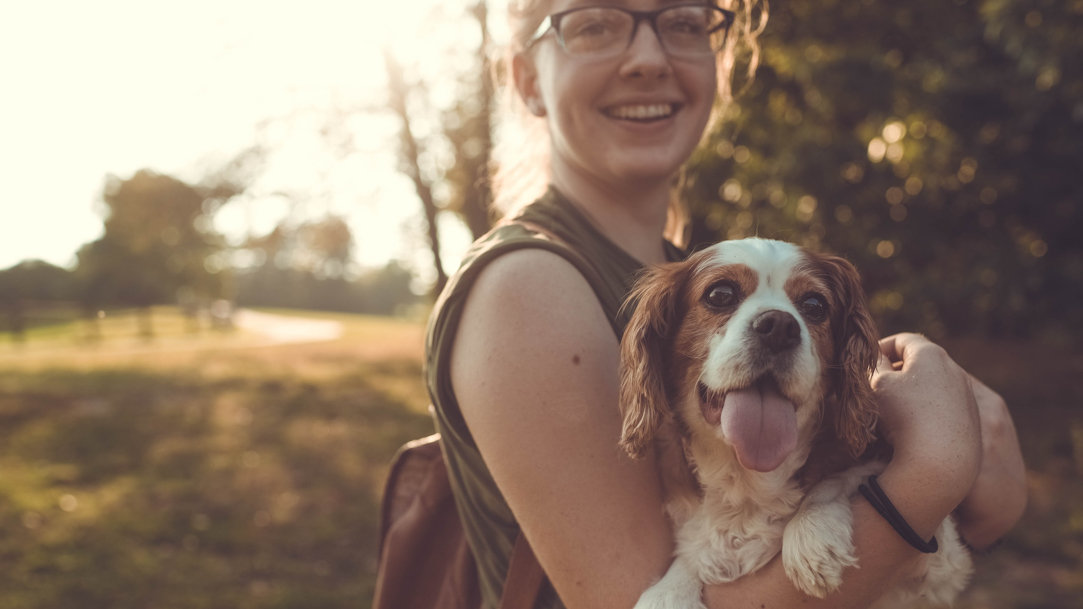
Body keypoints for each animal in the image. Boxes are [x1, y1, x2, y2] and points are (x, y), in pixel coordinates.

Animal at [619, 237, 974, 606]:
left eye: (815, 304)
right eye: (720, 294)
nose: (779, 326)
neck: (749, 481)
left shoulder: (943, 564)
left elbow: (843, 477)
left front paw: (812, 533)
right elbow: (692, 554)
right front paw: (669, 591)